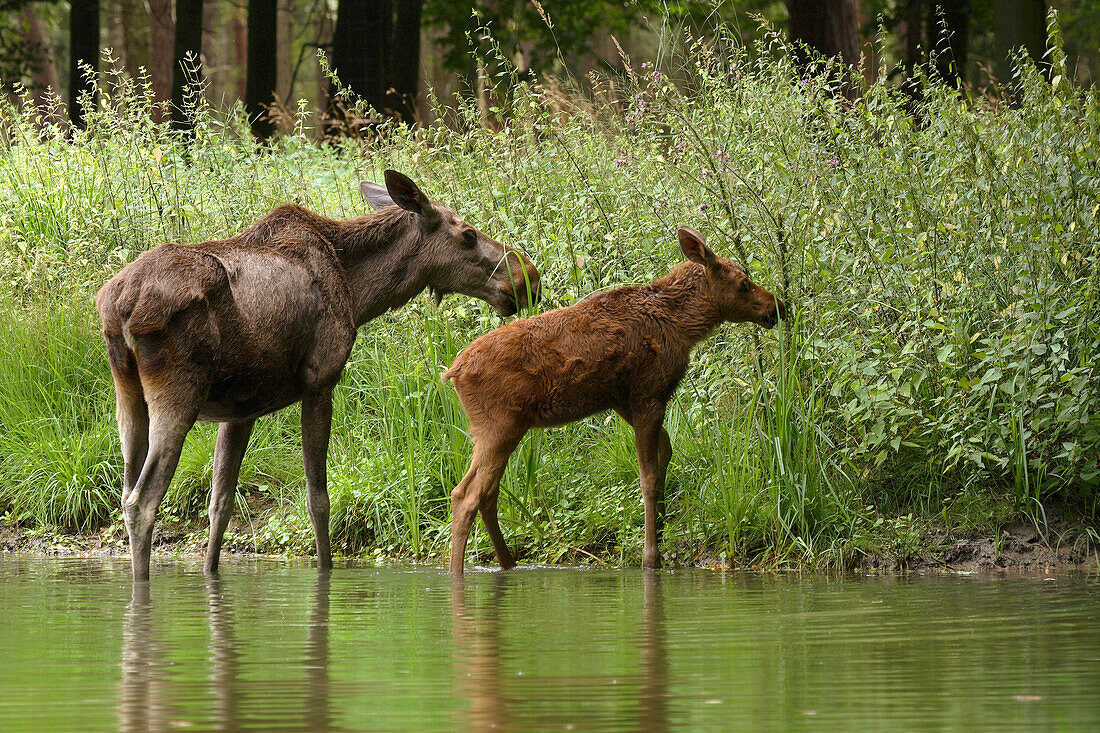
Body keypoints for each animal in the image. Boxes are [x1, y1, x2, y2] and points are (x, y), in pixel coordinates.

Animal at [97, 169, 536, 576]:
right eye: (468, 234)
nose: (527, 277)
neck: (359, 293)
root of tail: (117, 306)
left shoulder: (241, 409)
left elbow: (220, 502)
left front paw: (211, 574)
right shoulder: (320, 381)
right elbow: (318, 500)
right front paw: (326, 570)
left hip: (128, 398)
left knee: (126, 492)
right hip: (178, 394)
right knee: (142, 500)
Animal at [442, 224, 787, 572]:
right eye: (743, 283)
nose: (777, 306)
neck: (682, 326)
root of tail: (454, 372)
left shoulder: (623, 400)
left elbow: (665, 451)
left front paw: (662, 529)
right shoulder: (648, 393)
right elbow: (647, 476)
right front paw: (651, 556)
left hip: (501, 428)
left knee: (487, 493)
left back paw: (507, 563)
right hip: (499, 425)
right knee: (465, 494)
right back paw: (458, 572)